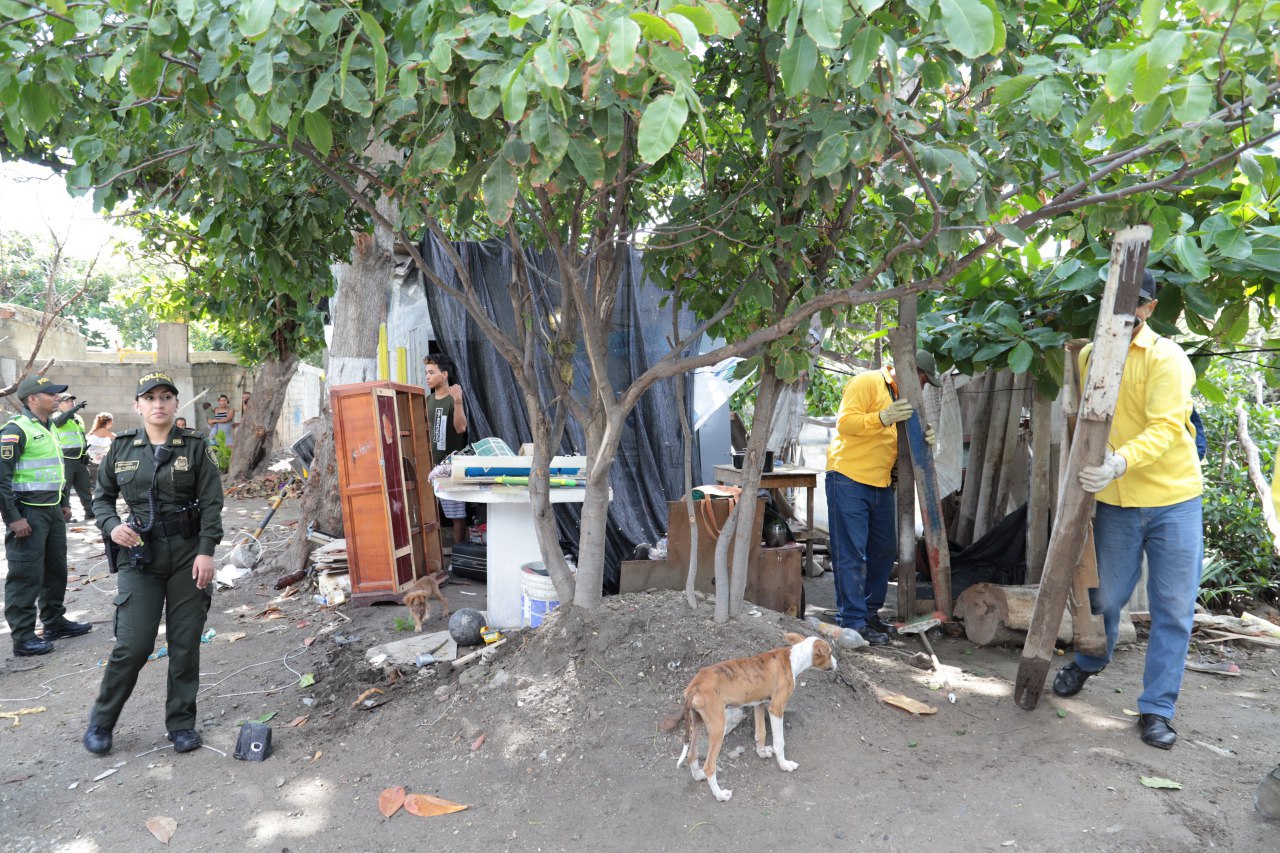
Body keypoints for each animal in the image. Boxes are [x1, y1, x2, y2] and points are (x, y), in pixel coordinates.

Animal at [675, 630, 834, 799]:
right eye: (830, 653)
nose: (836, 663)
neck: (793, 658)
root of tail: (695, 685)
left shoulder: (759, 704)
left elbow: (761, 733)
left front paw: (762, 753)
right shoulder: (776, 709)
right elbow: (779, 742)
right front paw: (784, 764)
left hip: (697, 721)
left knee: (692, 754)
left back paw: (698, 776)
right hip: (718, 726)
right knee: (709, 766)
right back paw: (720, 795)